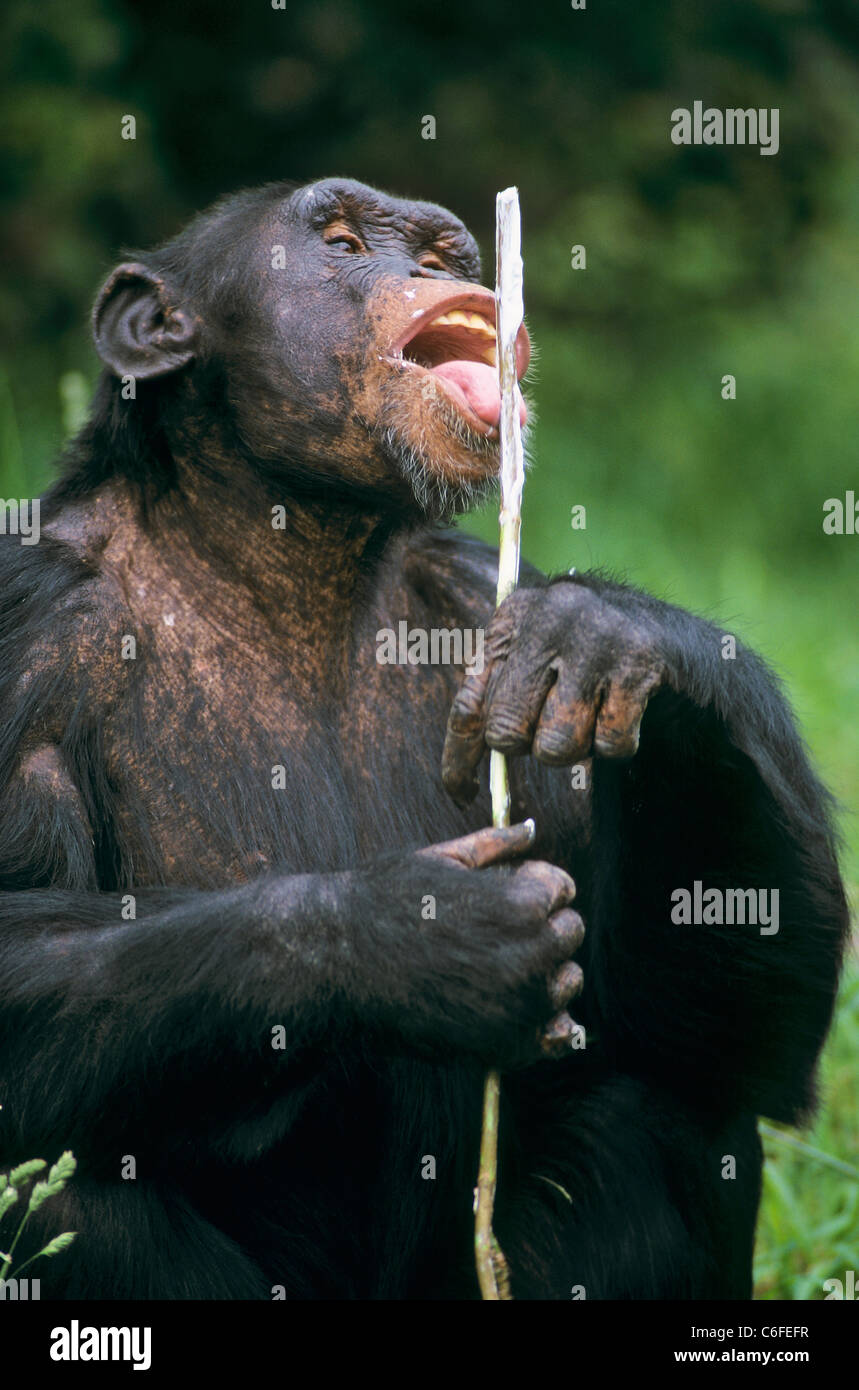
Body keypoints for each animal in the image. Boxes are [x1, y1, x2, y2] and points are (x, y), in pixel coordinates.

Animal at [0, 179, 845, 1295]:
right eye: (344, 243)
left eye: (442, 255)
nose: (432, 271)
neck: (282, 549)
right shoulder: (28, 628)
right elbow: (16, 946)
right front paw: (415, 934)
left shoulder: (488, 606)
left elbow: (727, 1037)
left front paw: (611, 629)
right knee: (54, 1195)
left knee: (668, 1110)